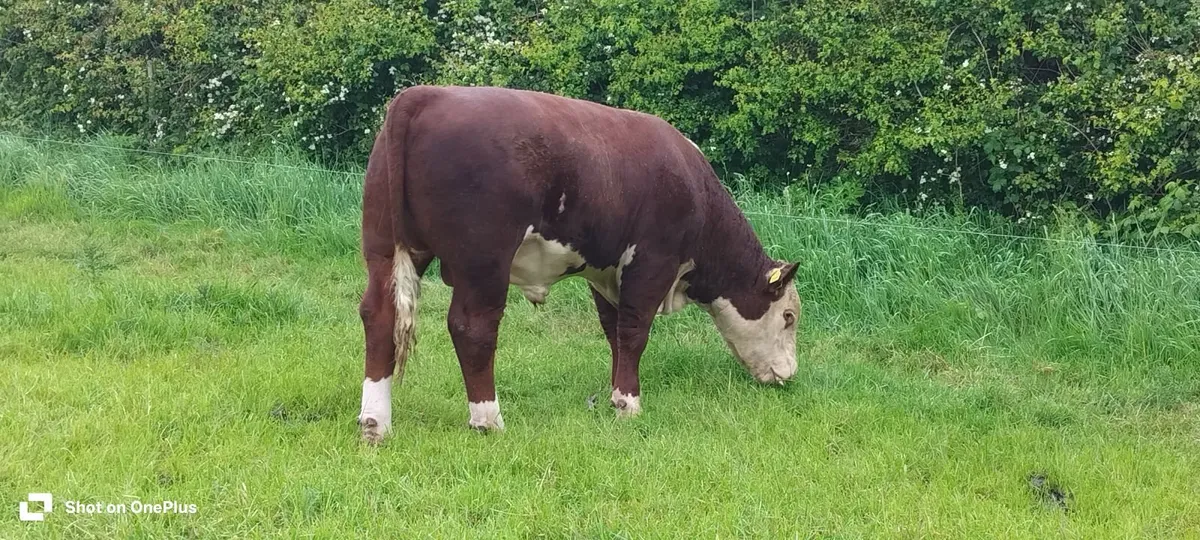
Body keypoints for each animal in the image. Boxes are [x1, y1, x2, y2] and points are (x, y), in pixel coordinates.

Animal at [357, 85, 802, 443]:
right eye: (789, 316)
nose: (791, 373)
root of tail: (424, 95)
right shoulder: (652, 262)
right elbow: (634, 332)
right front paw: (628, 404)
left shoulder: (605, 271)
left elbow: (614, 332)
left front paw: (614, 393)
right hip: (483, 261)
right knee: (473, 328)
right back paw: (488, 419)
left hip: (385, 248)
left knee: (379, 315)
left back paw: (375, 423)